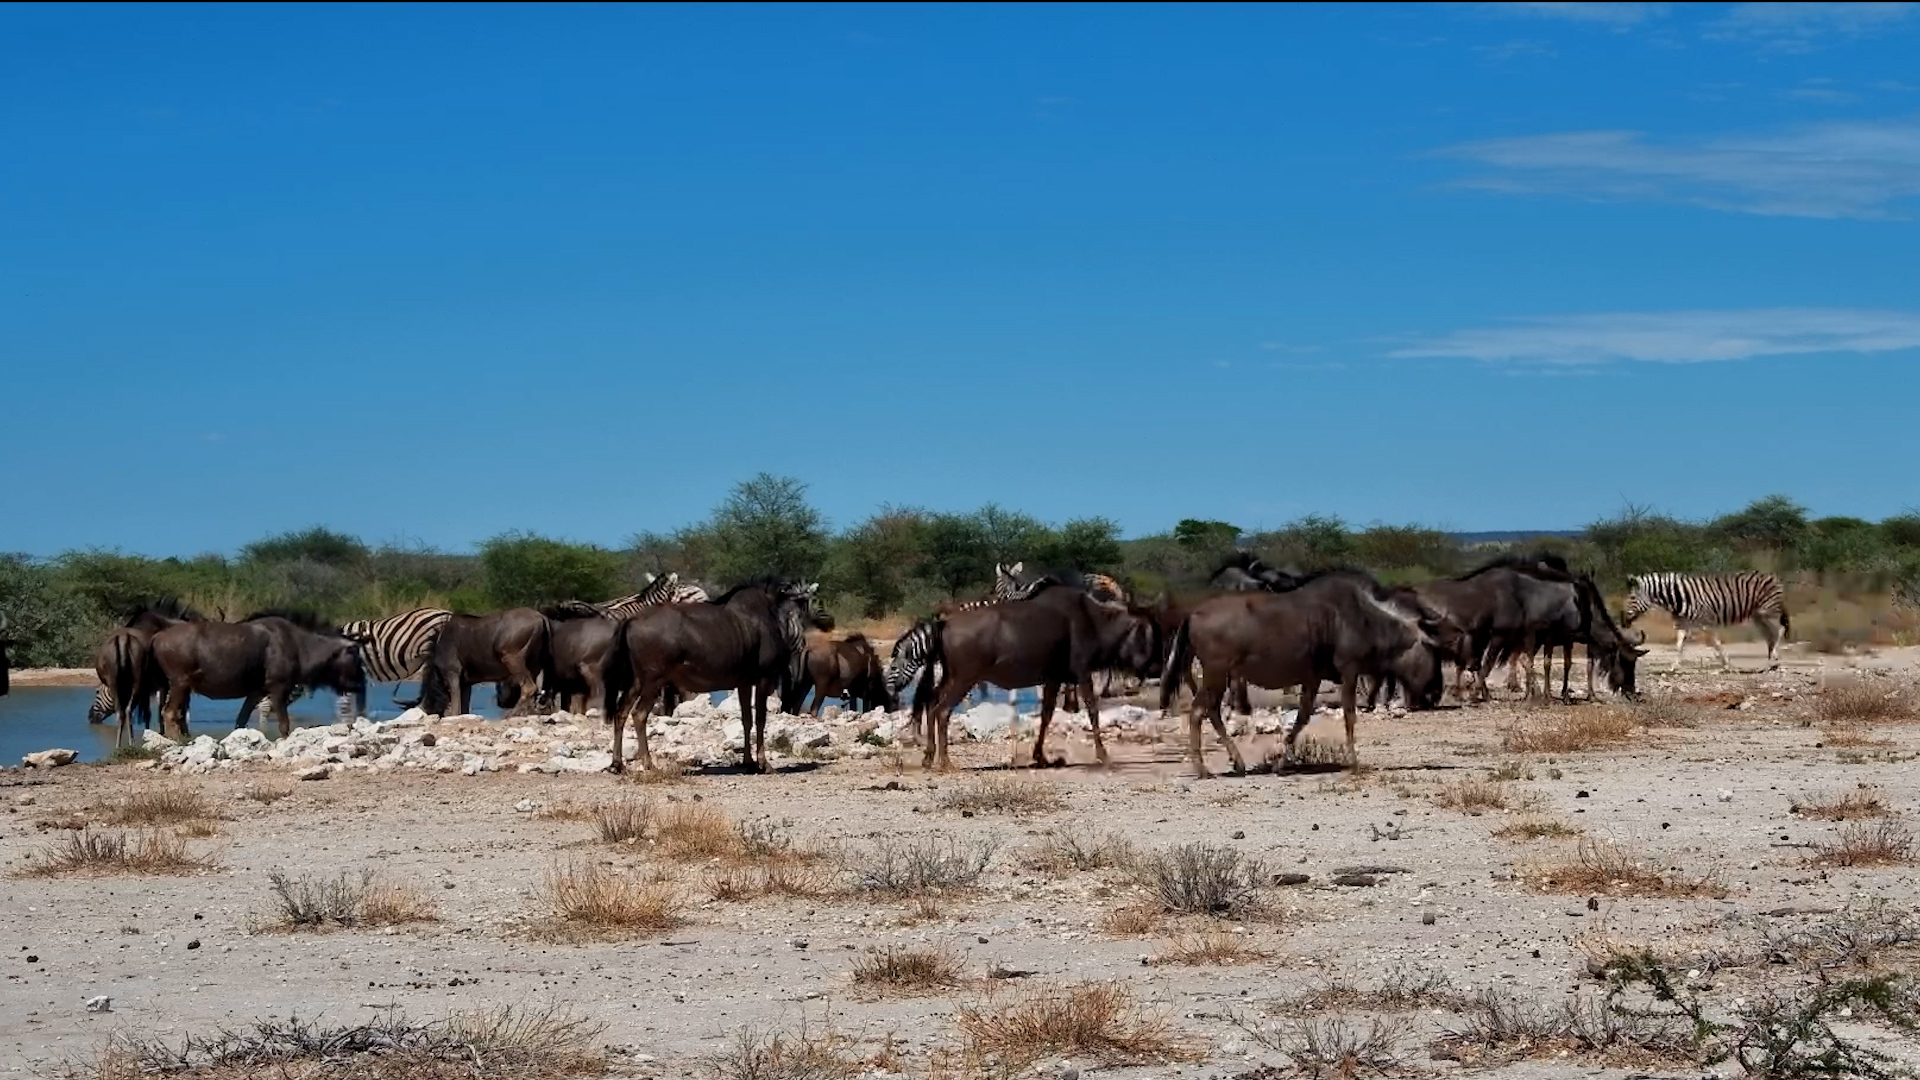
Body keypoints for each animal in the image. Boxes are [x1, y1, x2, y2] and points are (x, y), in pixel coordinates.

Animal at [1622, 571, 1791, 672]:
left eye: (1632, 598)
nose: (1623, 622)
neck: (1678, 597)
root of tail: (1774, 577)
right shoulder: (1684, 623)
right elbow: (1679, 645)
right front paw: (1673, 667)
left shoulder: (1706, 621)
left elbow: (1716, 643)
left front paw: (1728, 666)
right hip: (1758, 615)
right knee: (1769, 635)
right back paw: (1771, 662)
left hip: (1768, 611)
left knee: (1779, 630)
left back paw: (1772, 661)